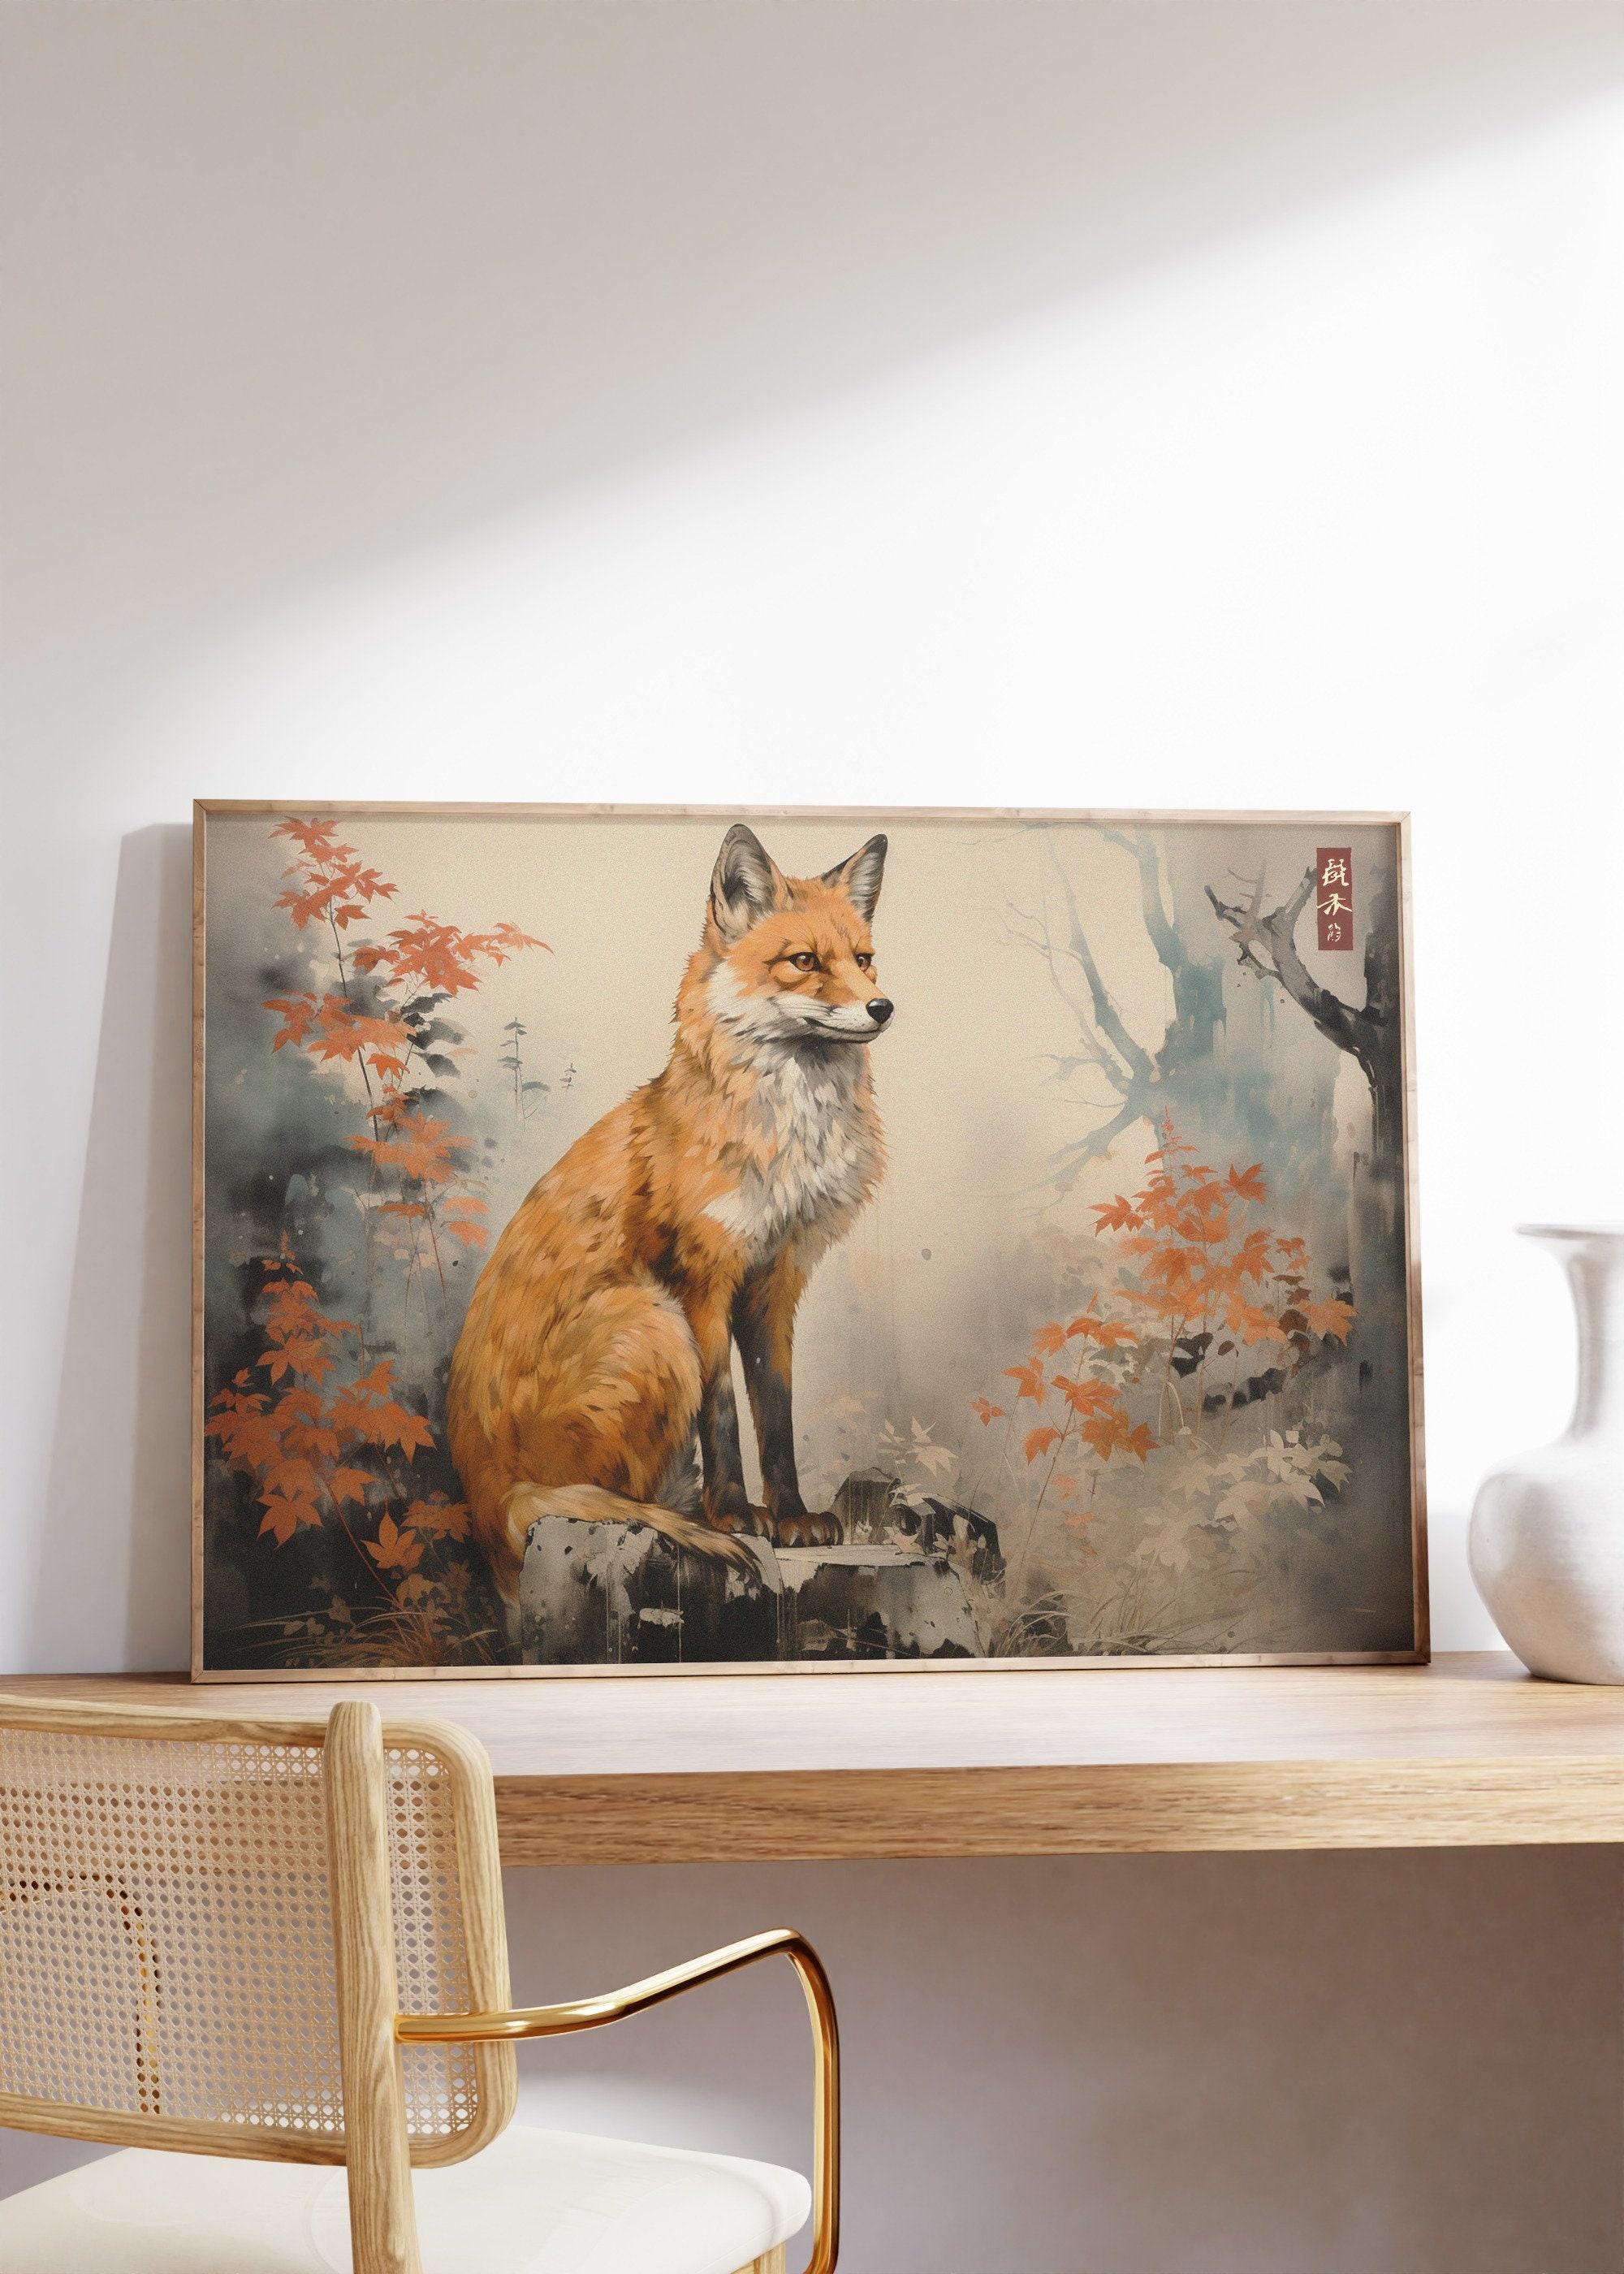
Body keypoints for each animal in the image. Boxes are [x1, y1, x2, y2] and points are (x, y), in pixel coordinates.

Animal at [445, 821, 892, 1612]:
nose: (883, 1007)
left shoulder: (775, 1281)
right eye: (805, 962)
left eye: (864, 960)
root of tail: (487, 1500)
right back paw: (683, 1517)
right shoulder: (702, 1277)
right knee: (596, 1497)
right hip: (652, 1320)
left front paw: (792, 1518)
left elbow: (775, 1416)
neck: (785, 1140)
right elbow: (723, 1414)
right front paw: (736, 1514)